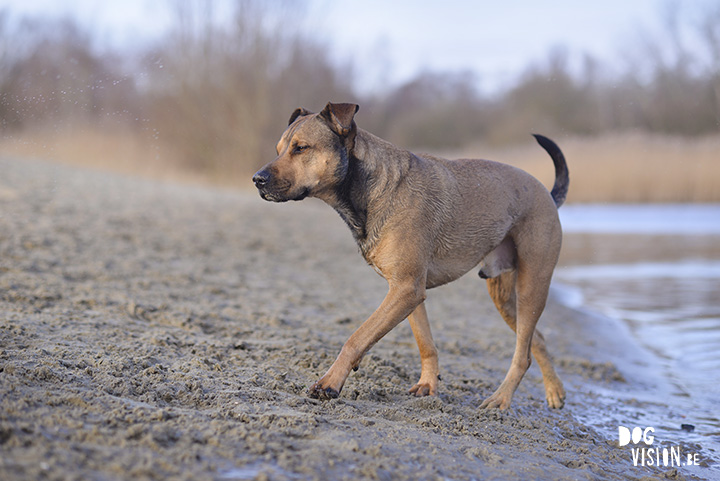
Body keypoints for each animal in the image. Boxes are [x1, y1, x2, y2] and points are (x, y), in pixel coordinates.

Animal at [252, 101, 568, 408]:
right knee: (536, 339)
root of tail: (547, 194)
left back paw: (500, 399)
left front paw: (329, 384)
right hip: (504, 296)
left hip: (531, 285)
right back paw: (554, 391)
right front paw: (429, 385)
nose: (257, 179)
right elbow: (425, 343)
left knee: (523, 354)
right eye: (279, 150)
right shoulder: (407, 291)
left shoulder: (406, 289)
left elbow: (356, 338)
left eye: (301, 148)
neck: (370, 188)